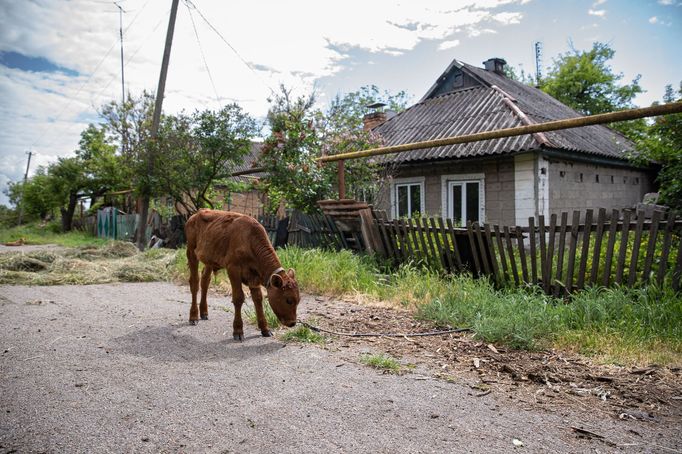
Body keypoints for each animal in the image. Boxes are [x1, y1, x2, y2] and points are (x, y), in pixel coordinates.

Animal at [182, 209, 298, 340]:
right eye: (288, 300)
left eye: (298, 300)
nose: (292, 323)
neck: (249, 239)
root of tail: (196, 214)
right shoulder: (233, 269)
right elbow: (238, 298)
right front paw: (238, 330)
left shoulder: (254, 275)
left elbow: (258, 299)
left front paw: (265, 329)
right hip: (191, 251)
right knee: (194, 283)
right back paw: (193, 316)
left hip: (210, 259)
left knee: (205, 281)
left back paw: (204, 312)